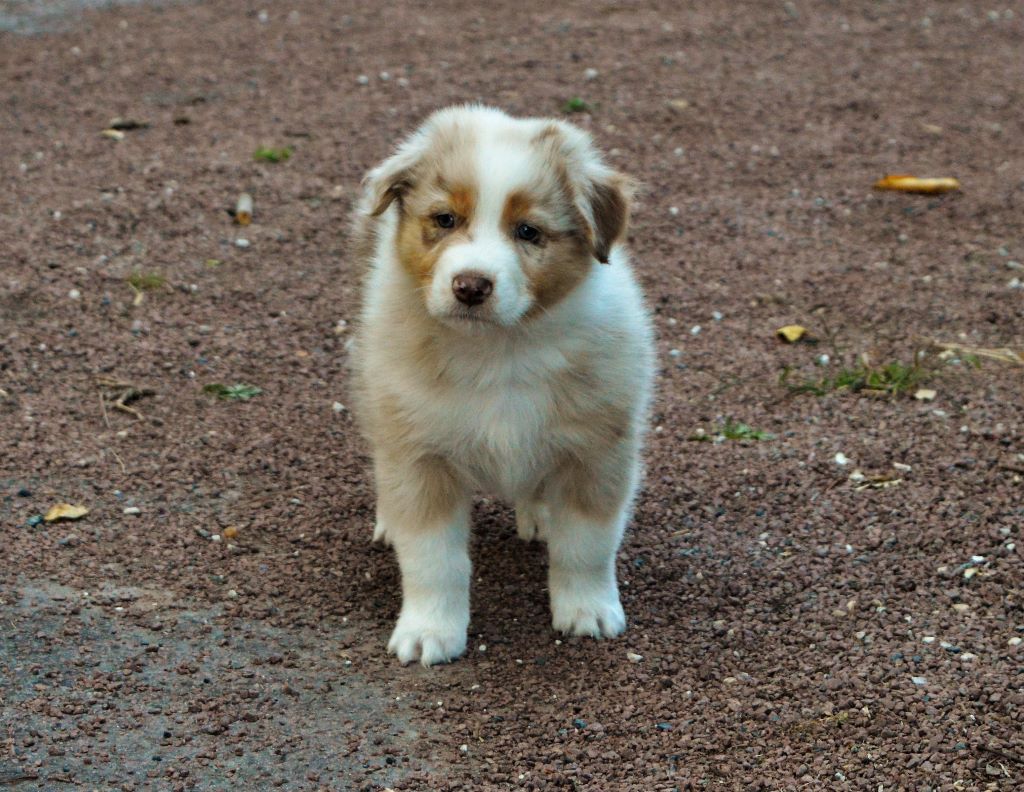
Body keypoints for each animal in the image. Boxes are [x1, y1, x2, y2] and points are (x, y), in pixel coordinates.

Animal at [349, 105, 654, 666]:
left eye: (528, 231)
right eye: (445, 220)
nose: (470, 286)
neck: (498, 350)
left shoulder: (599, 451)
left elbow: (587, 544)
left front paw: (587, 611)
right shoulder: (419, 455)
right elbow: (433, 558)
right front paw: (430, 631)